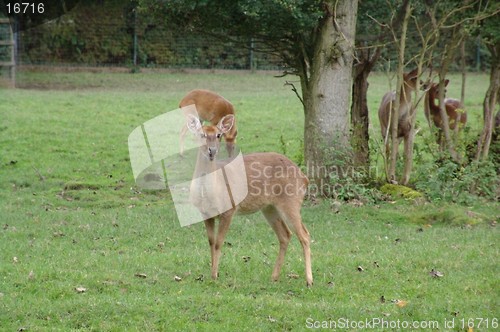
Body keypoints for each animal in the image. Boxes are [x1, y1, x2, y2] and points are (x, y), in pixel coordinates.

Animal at [186, 113, 312, 286]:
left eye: (219, 135)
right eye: (201, 134)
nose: (212, 151)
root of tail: (304, 178)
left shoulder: (229, 209)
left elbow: (219, 242)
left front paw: (215, 275)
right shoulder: (206, 213)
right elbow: (211, 242)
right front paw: (212, 273)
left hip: (291, 201)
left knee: (305, 235)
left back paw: (309, 280)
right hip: (269, 207)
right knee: (285, 235)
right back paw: (274, 276)